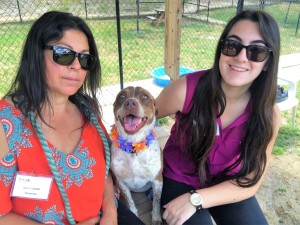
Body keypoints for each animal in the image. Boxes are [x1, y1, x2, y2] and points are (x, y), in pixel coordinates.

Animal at [110, 85, 162, 223]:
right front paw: (133, 212)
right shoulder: (121, 182)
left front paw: (156, 217)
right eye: (122, 96)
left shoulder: (157, 180)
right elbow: (129, 201)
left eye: (145, 96)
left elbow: (156, 201)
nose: (130, 103)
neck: (133, 146)